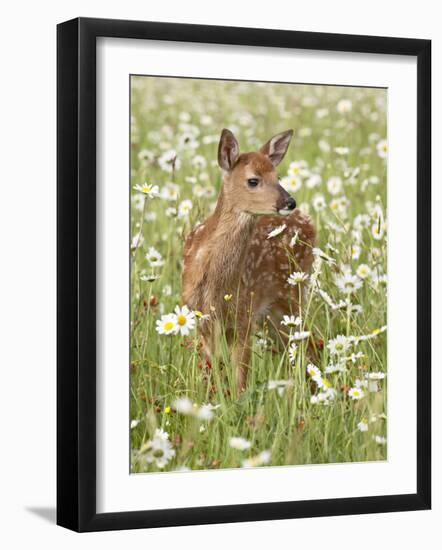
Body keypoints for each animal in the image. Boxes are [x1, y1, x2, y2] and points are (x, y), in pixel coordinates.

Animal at [181, 130, 316, 396]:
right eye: (253, 180)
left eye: (278, 176)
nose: (289, 202)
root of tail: (309, 221)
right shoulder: (200, 319)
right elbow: (210, 371)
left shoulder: (244, 316)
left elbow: (240, 378)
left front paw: (236, 402)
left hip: (292, 296)